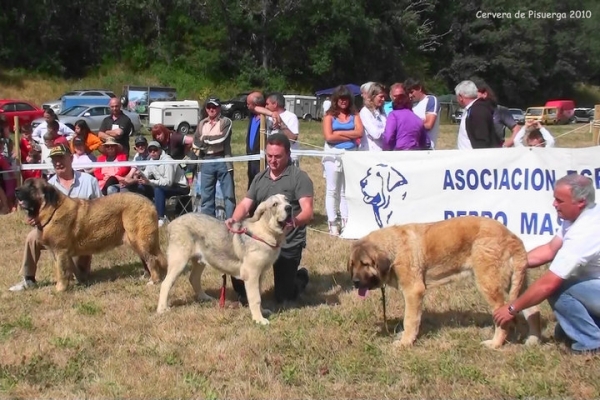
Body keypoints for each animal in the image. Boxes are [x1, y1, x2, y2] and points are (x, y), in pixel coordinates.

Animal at [16, 178, 166, 290]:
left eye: (31, 186)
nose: (16, 190)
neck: (52, 210)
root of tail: (149, 202)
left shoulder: (60, 251)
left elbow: (61, 271)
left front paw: (60, 289)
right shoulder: (61, 253)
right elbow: (68, 269)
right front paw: (79, 281)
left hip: (139, 239)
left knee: (151, 259)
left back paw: (153, 281)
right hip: (135, 241)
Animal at [346, 216, 544, 350]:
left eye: (365, 264)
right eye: (353, 265)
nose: (354, 282)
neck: (394, 249)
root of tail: (513, 237)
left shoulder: (413, 291)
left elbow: (410, 319)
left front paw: (405, 343)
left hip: (489, 284)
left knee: (504, 317)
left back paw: (495, 344)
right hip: (518, 284)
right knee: (533, 309)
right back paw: (533, 340)